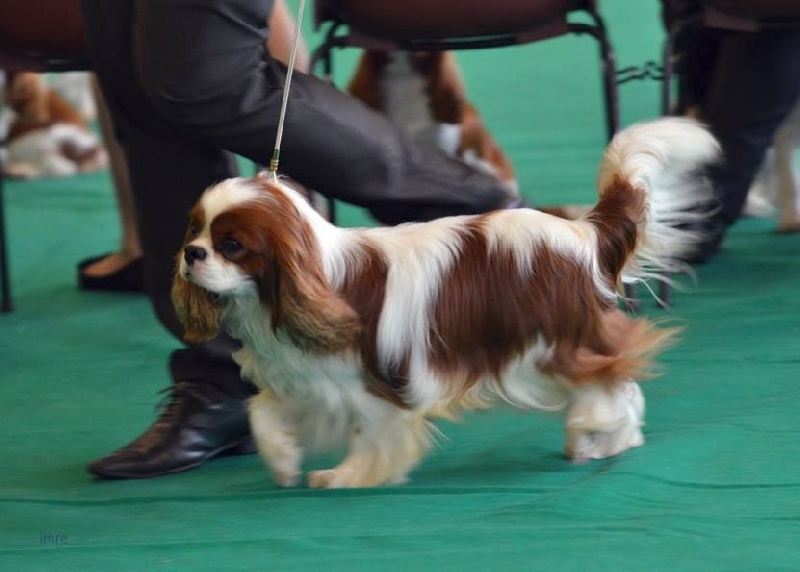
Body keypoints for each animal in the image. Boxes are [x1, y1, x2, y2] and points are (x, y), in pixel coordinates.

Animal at [171, 117, 718, 489]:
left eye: (232, 245)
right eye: (194, 230)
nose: (190, 254)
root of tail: (582, 232)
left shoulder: (372, 382)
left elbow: (370, 433)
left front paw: (348, 475)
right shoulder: (301, 378)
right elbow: (262, 411)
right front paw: (283, 461)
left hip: (557, 341)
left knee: (609, 379)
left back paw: (602, 434)